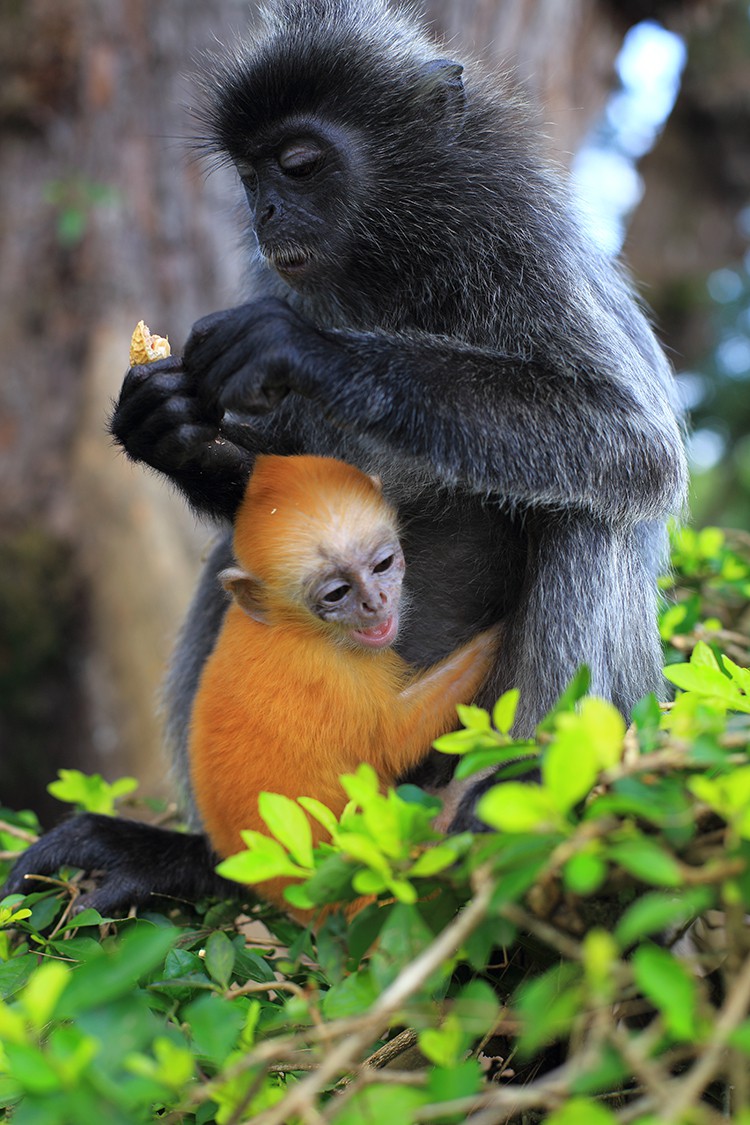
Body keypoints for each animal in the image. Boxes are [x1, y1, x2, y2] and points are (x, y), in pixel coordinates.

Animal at [186, 452, 499, 918]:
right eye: (336, 594)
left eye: (382, 565)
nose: (375, 602)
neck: (294, 628)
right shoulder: (327, 671)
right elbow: (391, 739)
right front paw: (501, 636)